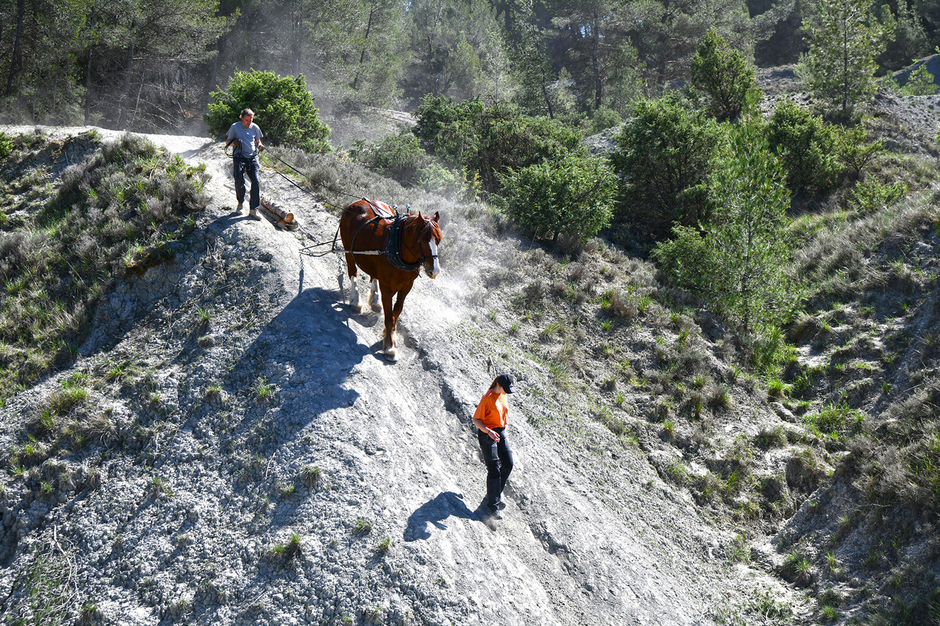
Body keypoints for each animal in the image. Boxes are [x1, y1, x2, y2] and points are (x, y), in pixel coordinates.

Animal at [340, 197, 442, 358]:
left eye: (438, 241)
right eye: (424, 241)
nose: (435, 271)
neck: (398, 250)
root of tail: (357, 202)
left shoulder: (407, 287)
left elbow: (397, 311)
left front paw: (390, 335)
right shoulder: (387, 288)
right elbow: (388, 316)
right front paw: (389, 345)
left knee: (374, 276)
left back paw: (375, 300)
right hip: (349, 252)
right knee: (352, 272)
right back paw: (356, 300)